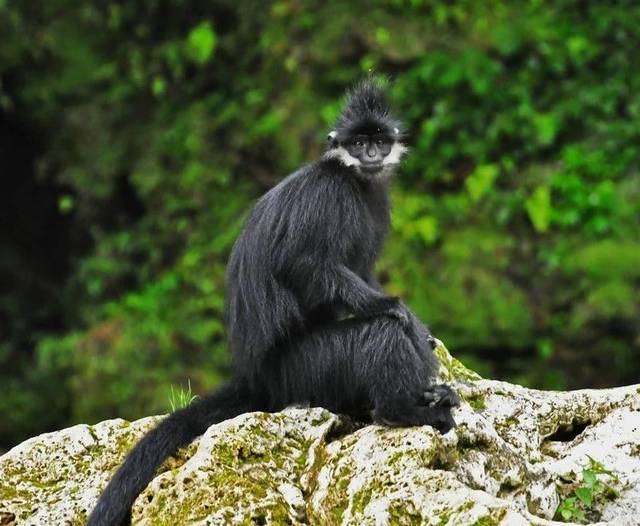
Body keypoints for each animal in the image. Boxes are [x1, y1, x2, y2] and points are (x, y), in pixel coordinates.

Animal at [89, 79, 460, 526]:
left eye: (377, 141)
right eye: (358, 143)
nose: (371, 154)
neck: (353, 180)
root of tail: (257, 377)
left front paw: (422, 333)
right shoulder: (331, 196)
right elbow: (308, 266)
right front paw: (396, 310)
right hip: (302, 369)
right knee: (378, 333)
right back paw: (401, 408)